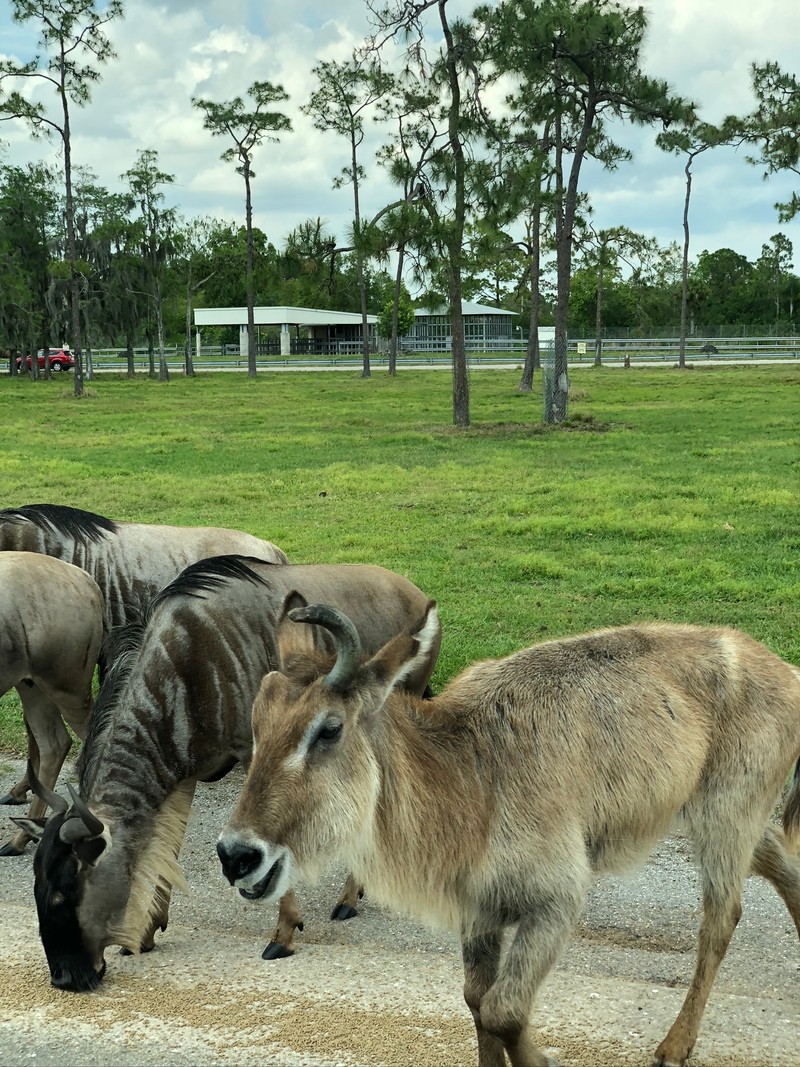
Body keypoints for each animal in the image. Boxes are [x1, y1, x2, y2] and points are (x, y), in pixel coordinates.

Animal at [217, 606, 800, 1062]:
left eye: (328, 728)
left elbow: (503, 1011)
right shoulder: (479, 913)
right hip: (712, 817)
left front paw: (545, 1059)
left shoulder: (555, 903)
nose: (235, 855)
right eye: (257, 722)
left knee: (721, 918)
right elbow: (478, 1003)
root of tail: (785, 670)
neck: (472, 775)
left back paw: (675, 1045)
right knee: (777, 859)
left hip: (725, 817)